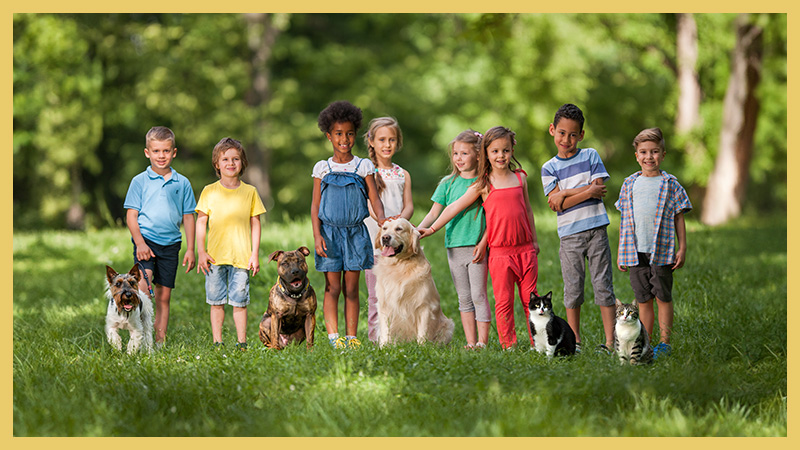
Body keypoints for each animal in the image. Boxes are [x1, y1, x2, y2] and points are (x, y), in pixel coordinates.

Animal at [372, 216, 454, 346]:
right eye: (384, 228)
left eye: (399, 229)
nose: (385, 237)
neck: (398, 265)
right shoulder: (384, 305)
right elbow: (385, 331)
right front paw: (384, 347)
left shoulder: (424, 306)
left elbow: (423, 331)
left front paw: (422, 347)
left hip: (448, 325)